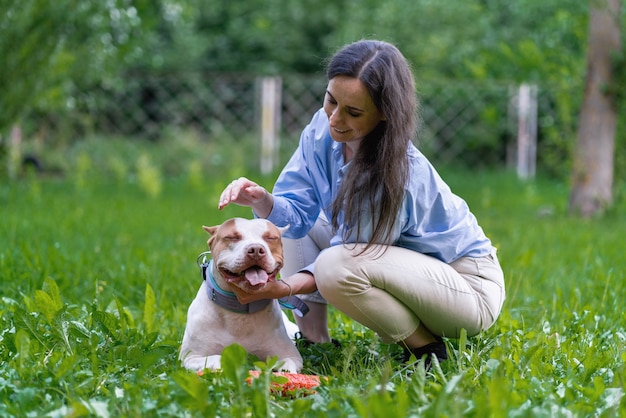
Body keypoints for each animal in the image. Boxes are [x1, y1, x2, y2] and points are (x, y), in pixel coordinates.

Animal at [178, 219, 302, 372]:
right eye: (232, 237)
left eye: (271, 238)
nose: (256, 250)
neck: (239, 314)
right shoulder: (191, 357)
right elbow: (215, 358)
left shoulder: (293, 356)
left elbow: (287, 362)